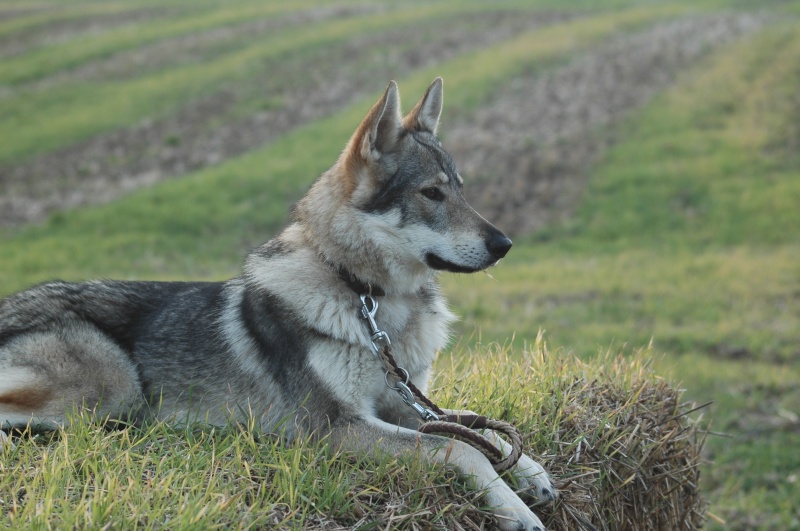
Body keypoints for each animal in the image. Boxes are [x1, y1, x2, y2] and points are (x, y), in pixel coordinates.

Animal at [0, 79, 552, 531]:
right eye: (432, 193)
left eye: (460, 190)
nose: (505, 244)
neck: (368, 300)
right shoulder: (335, 429)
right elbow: (460, 447)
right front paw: (516, 511)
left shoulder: (402, 402)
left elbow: (477, 427)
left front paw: (532, 473)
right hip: (113, 388)